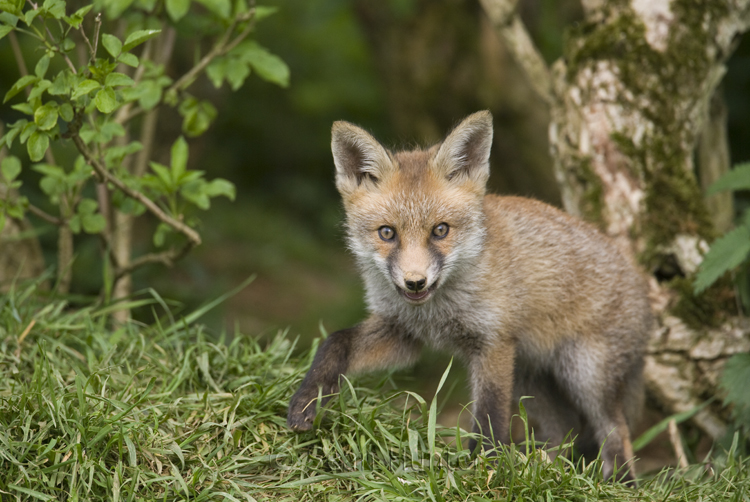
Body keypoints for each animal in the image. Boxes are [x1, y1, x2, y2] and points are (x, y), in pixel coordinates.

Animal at [290, 111, 656, 482]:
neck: (435, 312)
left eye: (440, 230)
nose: (415, 283)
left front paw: (486, 469)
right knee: (567, 427)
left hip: (585, 373)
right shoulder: (403, 333)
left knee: (614, 429)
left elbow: (490, 415)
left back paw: (619, 481)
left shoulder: (492, 342)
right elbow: (335, 341)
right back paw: (546, 469)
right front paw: (307, 399)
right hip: (530, 376)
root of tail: (642, 281)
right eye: (387, 233)